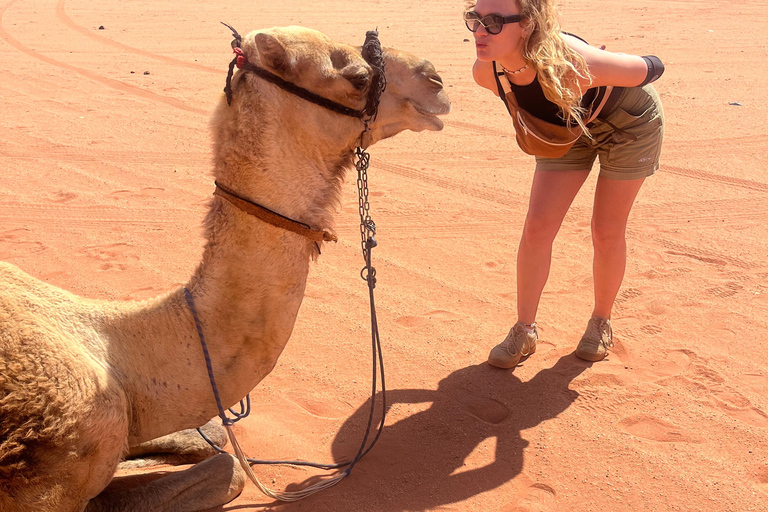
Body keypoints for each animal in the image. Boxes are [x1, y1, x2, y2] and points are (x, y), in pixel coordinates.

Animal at [0, 26, 451, 512]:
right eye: (358, 77)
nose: (436, 79)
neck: (123, 359)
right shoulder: (61, 466)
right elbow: (225, 469)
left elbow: (216, 439)